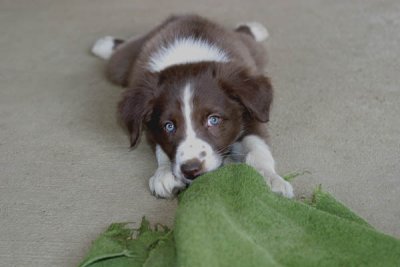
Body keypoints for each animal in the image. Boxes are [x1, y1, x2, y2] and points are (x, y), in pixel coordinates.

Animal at [91, 14, 294, 199]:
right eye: (169, 126)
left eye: (213, 120)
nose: (191, 170)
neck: (189, 58)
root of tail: (183, 16)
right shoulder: (150, 127)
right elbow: (161, 149)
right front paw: (165, 174)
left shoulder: (252, 114)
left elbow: (258, 150)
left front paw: (270, 179)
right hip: (121, 67)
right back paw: (104, 44)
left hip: (254, 53)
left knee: (247, 38)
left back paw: (253, 28)